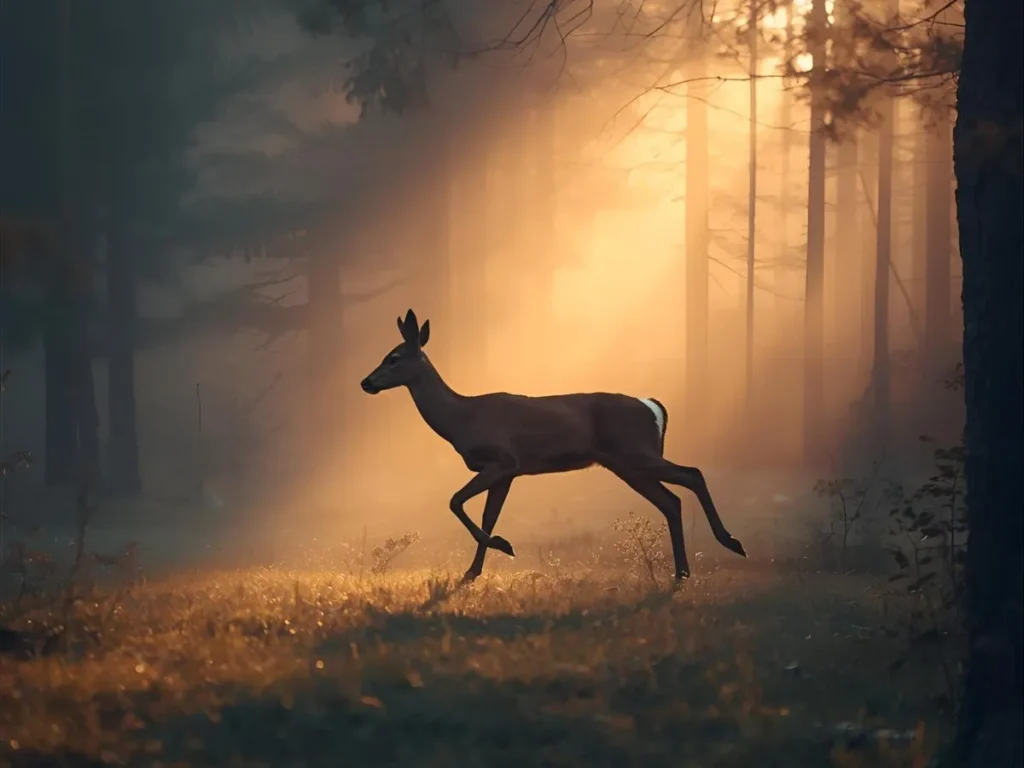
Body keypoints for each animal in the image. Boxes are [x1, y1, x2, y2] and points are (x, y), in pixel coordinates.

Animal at [360, 309, 747, 585]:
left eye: (393, 358)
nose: (366, 382)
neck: (461, 419)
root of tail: (653, 407)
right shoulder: (508, 472)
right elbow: (487, 515)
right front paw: (473, 570)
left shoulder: (504, 460)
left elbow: (455, 501)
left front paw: (502, 546)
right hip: (625, 463)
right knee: (671, 500)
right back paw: (682, 572)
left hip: (637, 452)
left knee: (692, 474)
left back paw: (730, 541)